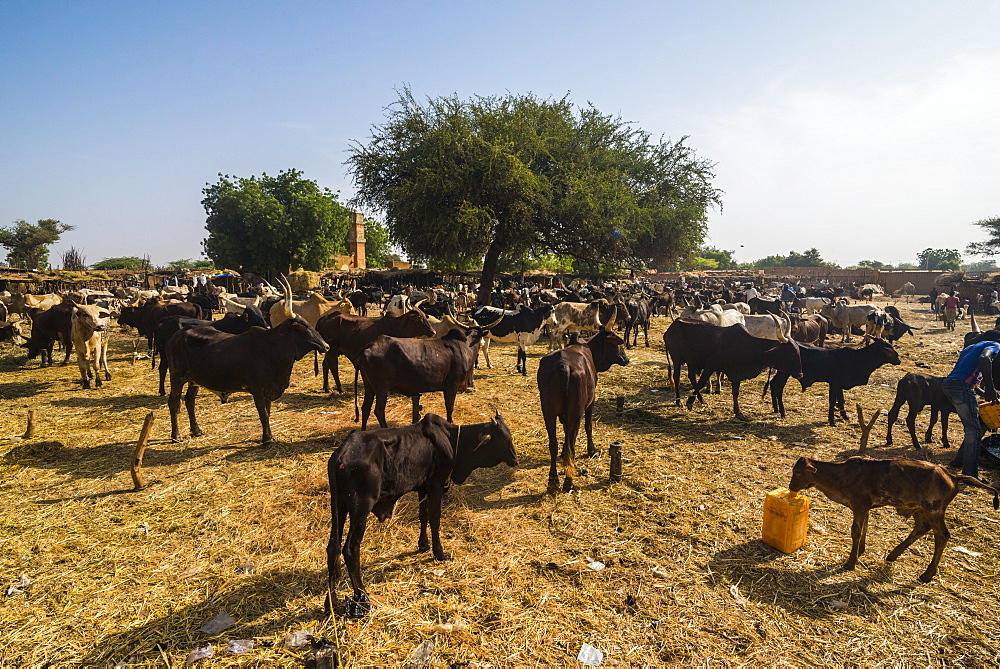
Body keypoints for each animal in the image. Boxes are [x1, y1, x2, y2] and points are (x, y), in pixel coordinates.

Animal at [326, 412, 520, 616]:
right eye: (503, 439)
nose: (515, 460)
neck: (452, 440)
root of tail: (341, 454)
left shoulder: (422, 488)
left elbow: (423, 516)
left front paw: (423, 544)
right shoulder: (436, 487)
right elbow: (434, 519)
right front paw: (439, 552)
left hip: (339, 506)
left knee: (333, 547)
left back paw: (331, 602)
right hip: (360, 509)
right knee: (350, 549)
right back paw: (361, 596)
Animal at [536, 328, 628, 490]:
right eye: (618, 344)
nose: (626, 359)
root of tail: (563, 365)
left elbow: (565, 433)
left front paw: (563, 453)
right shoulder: (591, 401)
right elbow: (588, 426)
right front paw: (592, 450)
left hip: (548, 411)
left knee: (553, 444)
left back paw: (553, 480)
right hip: (576, 412)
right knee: (572, 444)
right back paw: (568, 482)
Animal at [664, 318, 804, 420]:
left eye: (798, 350)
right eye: (791, 353)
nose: (800, 374)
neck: (743, 345)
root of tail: (671, 326)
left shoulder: (737, 373)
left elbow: (735, 392)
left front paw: (738, 412)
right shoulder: (710, 365)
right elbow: (702, 382)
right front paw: (689, 403)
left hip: (691, 361)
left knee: (691, 377)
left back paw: (701, 400)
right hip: (677, 359)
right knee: (677, 378)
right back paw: (679, 402)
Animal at [768, 342, 904, 426]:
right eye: (889, 350)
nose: (898, 360)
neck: (858, 358)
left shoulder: (839, 385)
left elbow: (841, 400)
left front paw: (845, 416)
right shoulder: (834, 383)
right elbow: (833, 401)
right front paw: (832, 421)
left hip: (782, 372)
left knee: (773, 384)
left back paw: (776, 409)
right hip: (785, 373)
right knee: (778, 387)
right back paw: (782, 412)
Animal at [788, 456, 1000, 580]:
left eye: (797, 472)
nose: (791, 487)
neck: (843, 478)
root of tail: (953, 477)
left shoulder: (860, 505)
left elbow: (856, 531)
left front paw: (850, 562)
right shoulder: (865, 507)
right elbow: (865, 528)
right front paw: (861, 552)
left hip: (934, 510)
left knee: (942, 536)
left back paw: (927, 574)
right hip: (919, 508)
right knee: (921, 528)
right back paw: (893, 554)